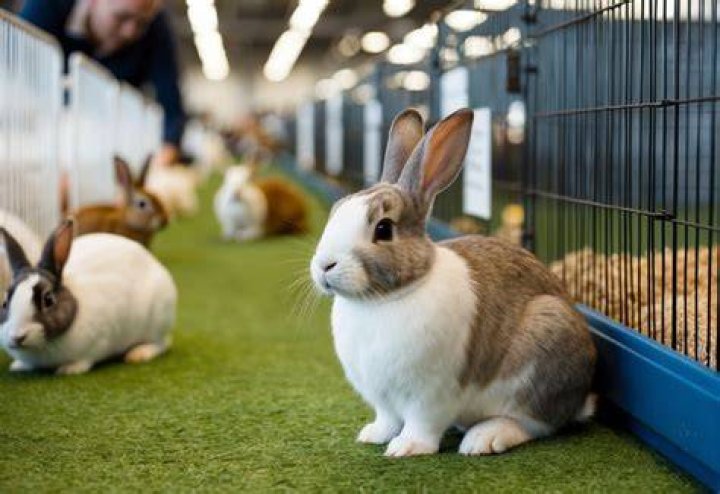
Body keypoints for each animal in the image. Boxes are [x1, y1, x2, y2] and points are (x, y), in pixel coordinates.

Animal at [0, 219, 177, 375]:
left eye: (48, 300)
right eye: (5, 302)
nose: (17, 337)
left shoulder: (99, 341)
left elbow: (85, 359)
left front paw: (69, 370)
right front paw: (18, 366)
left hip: (157, 321)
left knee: (161, 343)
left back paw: (139, 353)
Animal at [309, 108, 597, 457]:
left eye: (383, 229)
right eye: (336, 211)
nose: (324, 265)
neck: (383, 299)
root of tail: (582, 397)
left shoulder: (430, 395)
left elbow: (421, 424)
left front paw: (405, 448)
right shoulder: (383, 398)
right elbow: (388, 418)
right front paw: (373, 435)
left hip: (542, 349)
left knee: (536, 424)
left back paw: (483, 438)